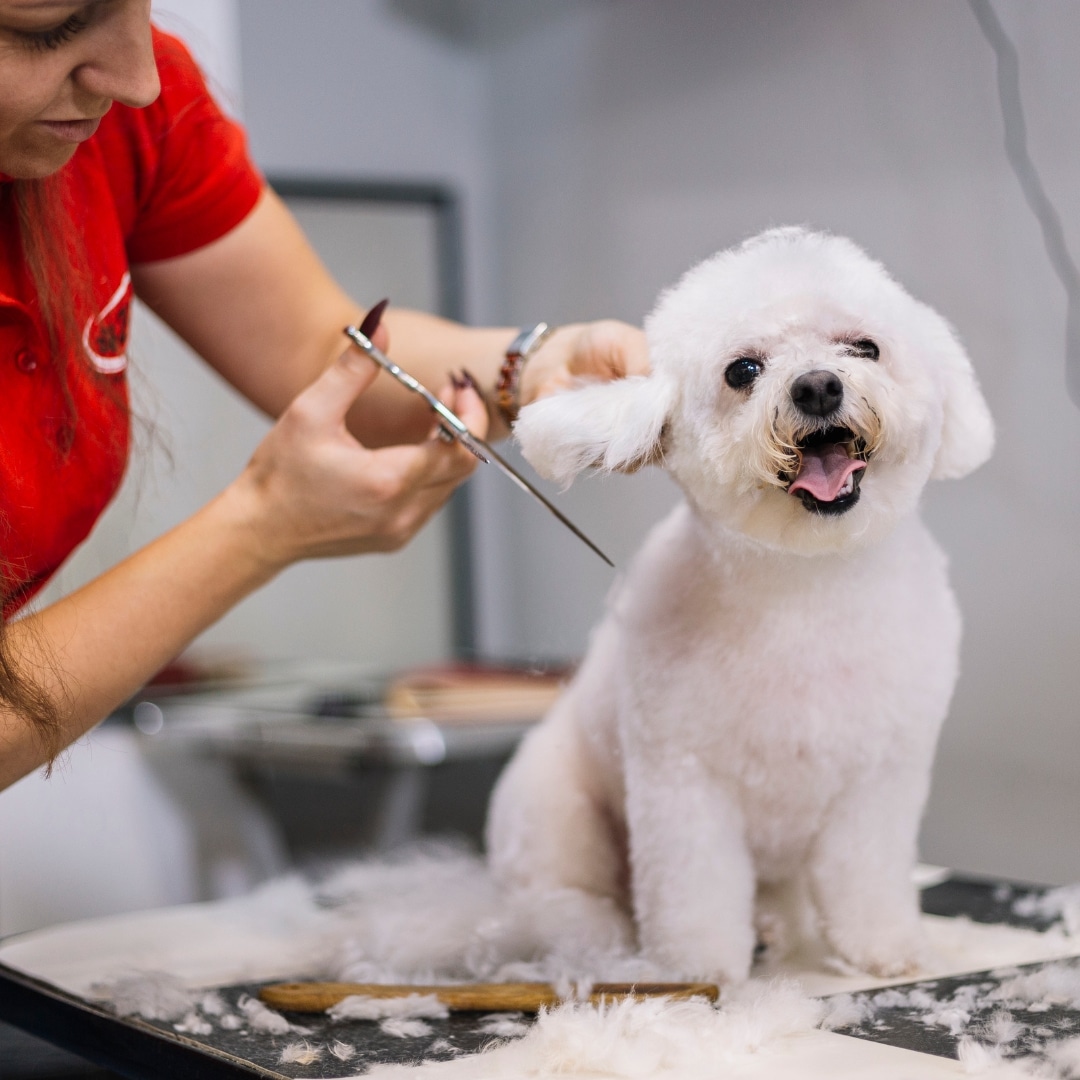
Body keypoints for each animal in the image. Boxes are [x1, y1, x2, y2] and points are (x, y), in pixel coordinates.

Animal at [490, 230, 993, 989]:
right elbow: (693, 892)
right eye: (743, 370)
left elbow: (868, 874)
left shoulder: (881, 778)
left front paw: (882, 947)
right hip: (553, 812)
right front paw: (696, 969)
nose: (817, 385)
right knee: (561, 895)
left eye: (865, 347)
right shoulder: (683, 786)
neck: (803, 588)